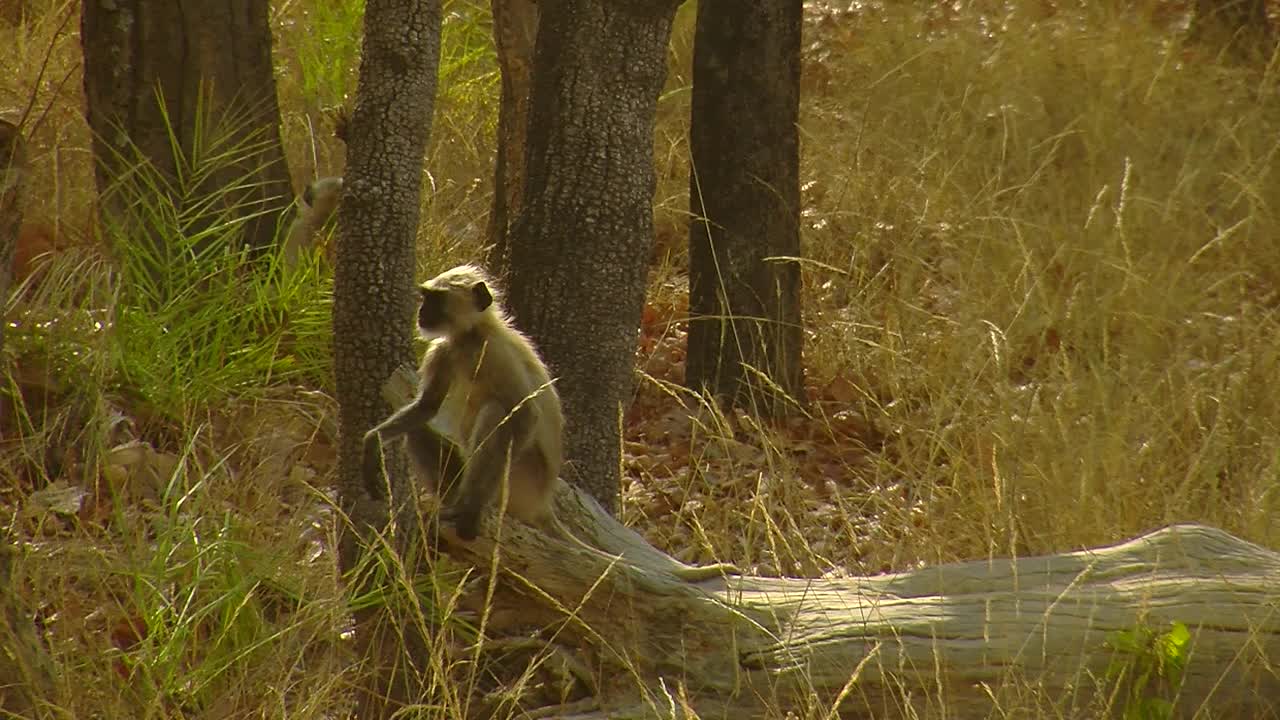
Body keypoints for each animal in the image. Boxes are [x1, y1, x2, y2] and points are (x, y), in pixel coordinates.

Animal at [363, 266, 742, 579]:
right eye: (426, 298)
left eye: (436, 300)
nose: (421, 313)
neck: (470, 337)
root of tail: (543, 501)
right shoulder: (444, 350)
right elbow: (426, 408)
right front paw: (370, 446)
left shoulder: (494, 352)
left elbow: (523, 416)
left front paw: (470, 513)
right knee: (418, 431)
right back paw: (450, 498)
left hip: (520, 482)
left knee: (495, 414)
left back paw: (470, 506)